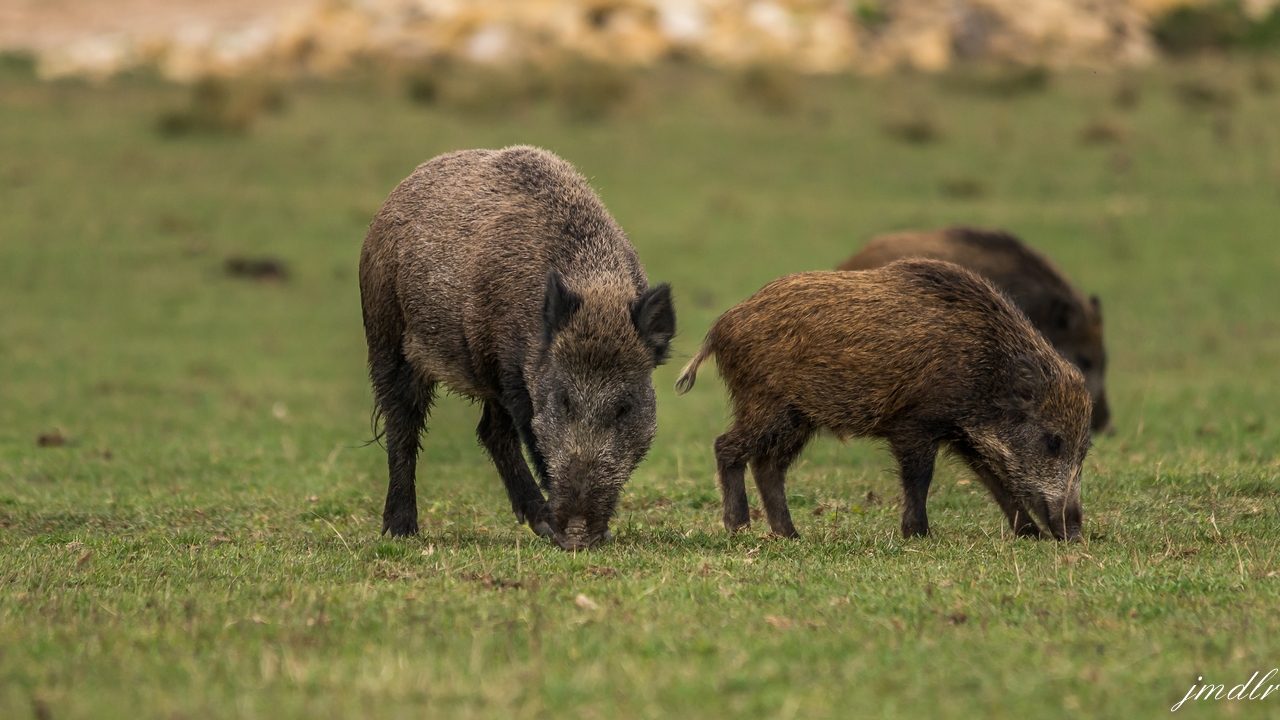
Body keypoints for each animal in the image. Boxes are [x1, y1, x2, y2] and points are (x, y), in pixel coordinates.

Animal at [359, 146, 676, 550]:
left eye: (624, 408)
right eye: (564, 400)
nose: (577, 535)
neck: (597, 291)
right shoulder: (515, 372)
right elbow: (535, 440)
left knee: (489, 432)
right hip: (386, 334)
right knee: (402, 423)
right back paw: (401, 531)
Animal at [675, 259, 1090, 541]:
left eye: (1085, 449)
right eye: (1053, 441)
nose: (1072, 534)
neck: (988, 370)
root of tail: (721, 326)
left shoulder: (963, 433)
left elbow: (996, 480)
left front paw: (1029, 534)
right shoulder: (916, 421)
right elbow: (920, 477)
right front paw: (918, 534)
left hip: (798, 418)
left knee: (768, 465)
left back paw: (791, 534)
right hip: (767, 404)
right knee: (727, 446)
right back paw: (739, 526)